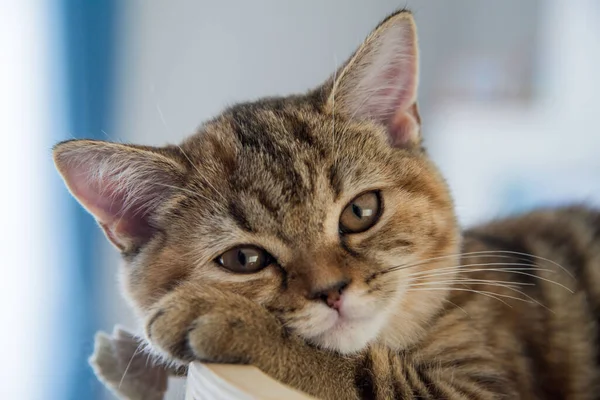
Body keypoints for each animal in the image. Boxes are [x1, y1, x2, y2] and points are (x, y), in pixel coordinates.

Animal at [52, 9, 600, 400]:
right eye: (244, 259)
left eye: (361, 212)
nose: (333, 291)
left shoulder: (483, 389)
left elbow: (361, 374)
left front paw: (230, 323)